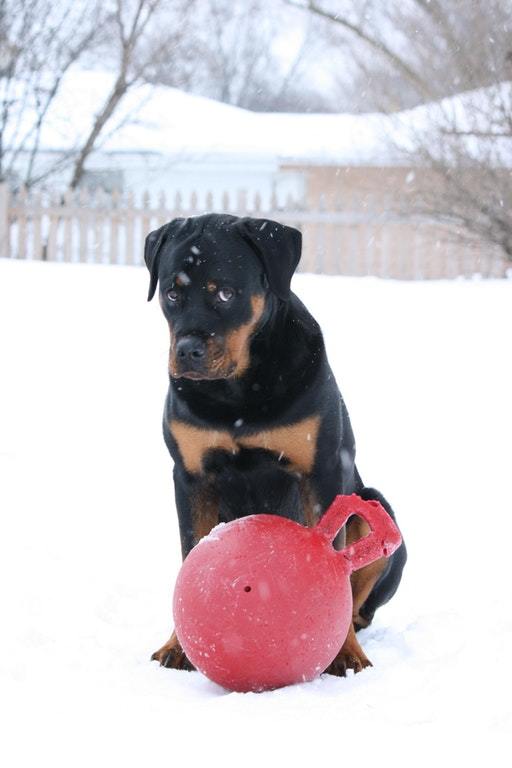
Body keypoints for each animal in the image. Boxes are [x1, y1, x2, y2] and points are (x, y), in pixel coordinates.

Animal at [146, 213, 406, 676]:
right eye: (172, 293)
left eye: (225, 292)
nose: (188, 349)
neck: (237, 392)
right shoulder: (191, 476)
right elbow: (192, 554)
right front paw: (179, 646)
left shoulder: (322, 470)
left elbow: (335, 562)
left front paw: (344, 652)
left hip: (375, 502)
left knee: (361, 600)